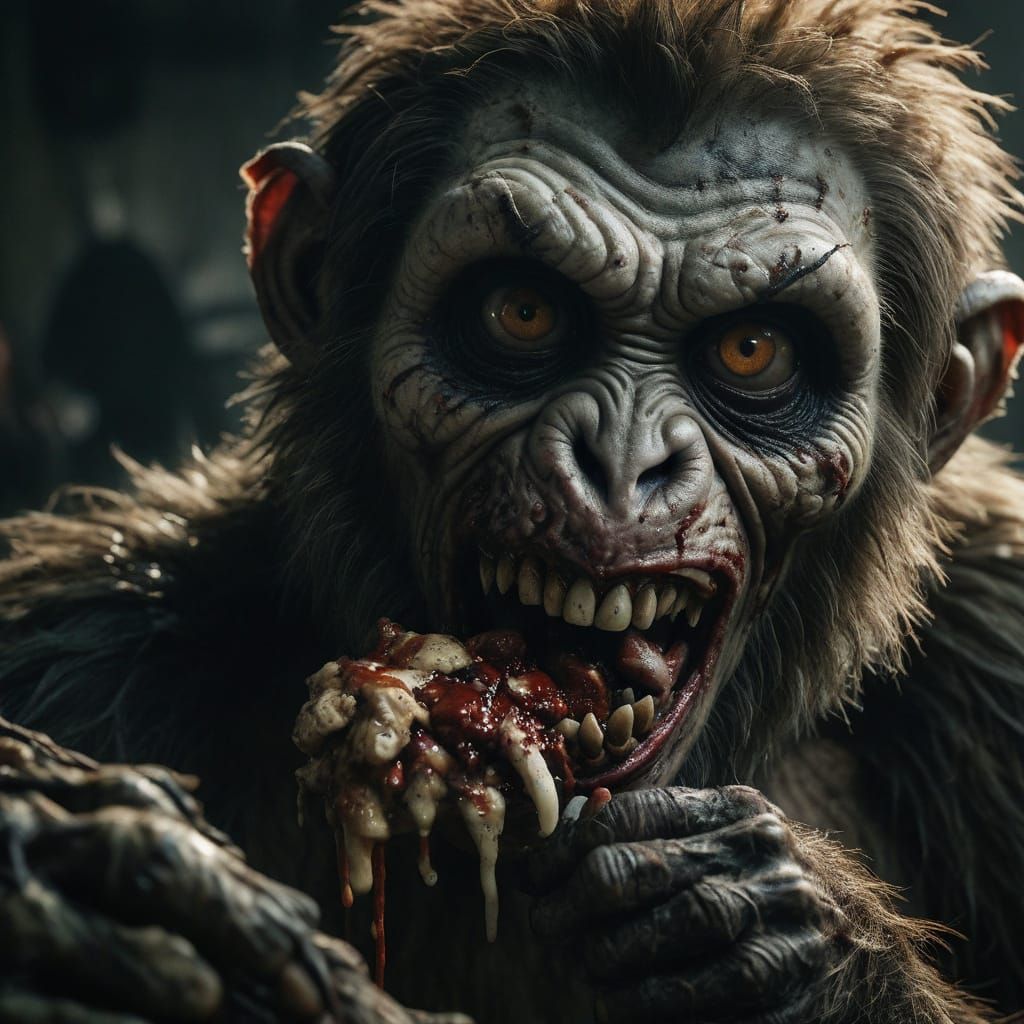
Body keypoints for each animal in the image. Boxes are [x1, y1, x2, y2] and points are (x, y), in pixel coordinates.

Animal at [1, 0, 1023, 1021]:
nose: (622, 462)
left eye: (752, 349)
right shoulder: (76, 647)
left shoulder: (999, 621)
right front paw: (83, 867)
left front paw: (780, 936)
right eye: (522, 311)